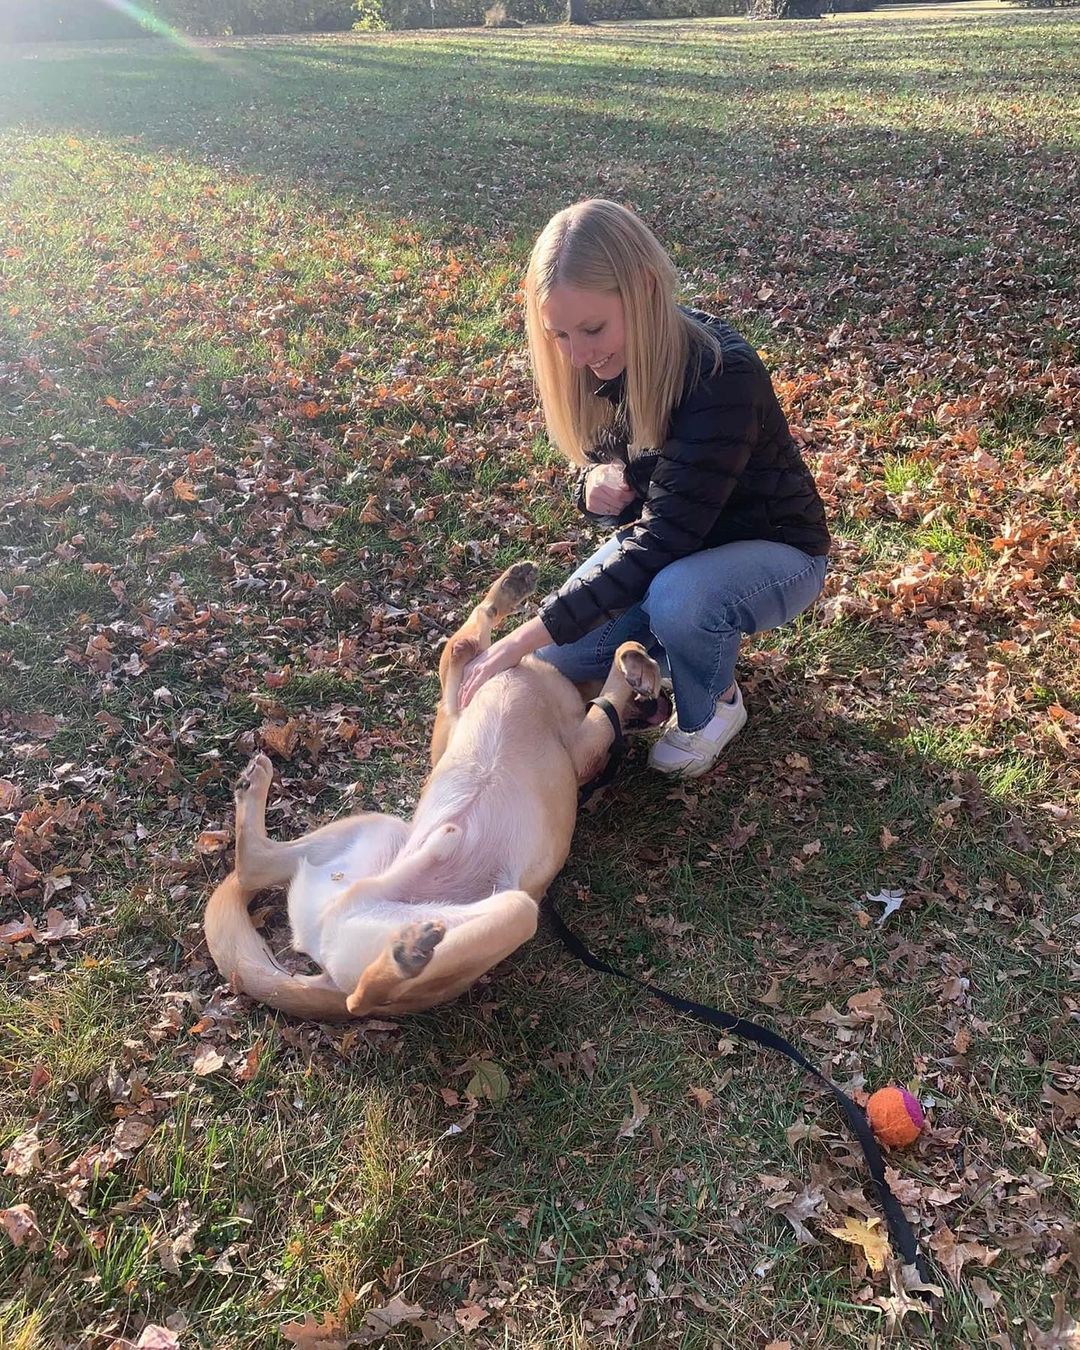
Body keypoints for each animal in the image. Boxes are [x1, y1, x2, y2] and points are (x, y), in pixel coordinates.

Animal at [201, 564, 658, 1015]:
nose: (660, 705)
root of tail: (322, 962)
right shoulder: (454, 707)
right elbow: (464, 643)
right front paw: (508, 593)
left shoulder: (581, 742)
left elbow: (606, 695)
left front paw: (634, 666)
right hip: (379, 838)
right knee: (260, 870)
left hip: (507, 909)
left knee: (361, 997)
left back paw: (410, 947)